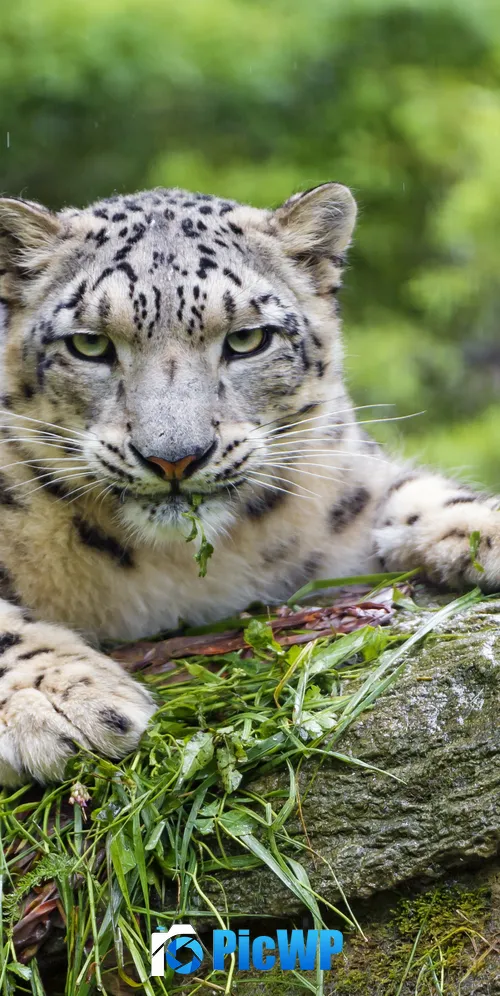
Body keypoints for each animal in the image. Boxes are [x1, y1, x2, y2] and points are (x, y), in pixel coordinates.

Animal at [0, 181, 498, 787]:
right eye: (90, 345)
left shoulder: (342, 478)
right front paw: (61, 703)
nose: (174, 458)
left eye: (247, 339)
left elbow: (398, 488)